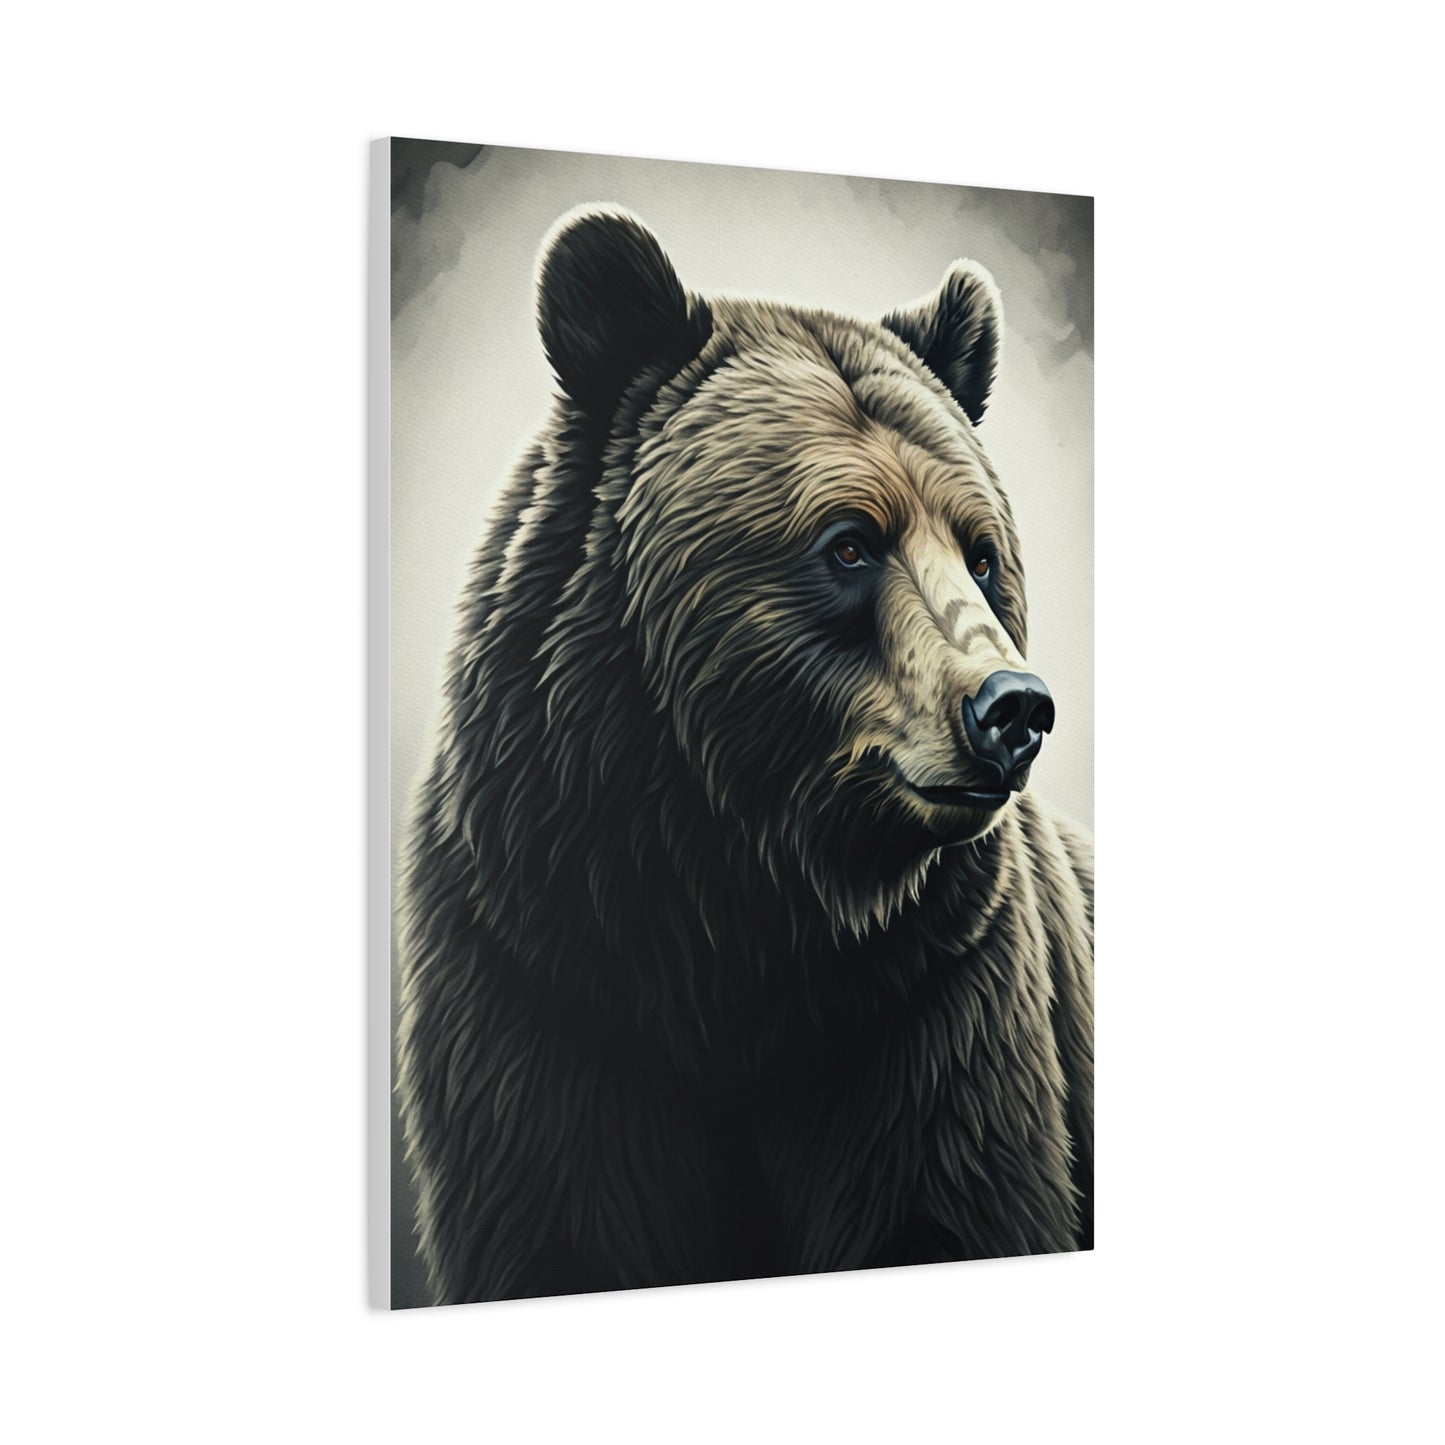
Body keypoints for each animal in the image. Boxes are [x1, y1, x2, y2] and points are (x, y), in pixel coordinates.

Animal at [396, 207, 1093, 1306]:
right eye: (849, 542)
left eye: (980, 553)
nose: (1011, 707)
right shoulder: (539, 972)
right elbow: (560, 1225)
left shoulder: (929, 1004)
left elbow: (943, 1201)